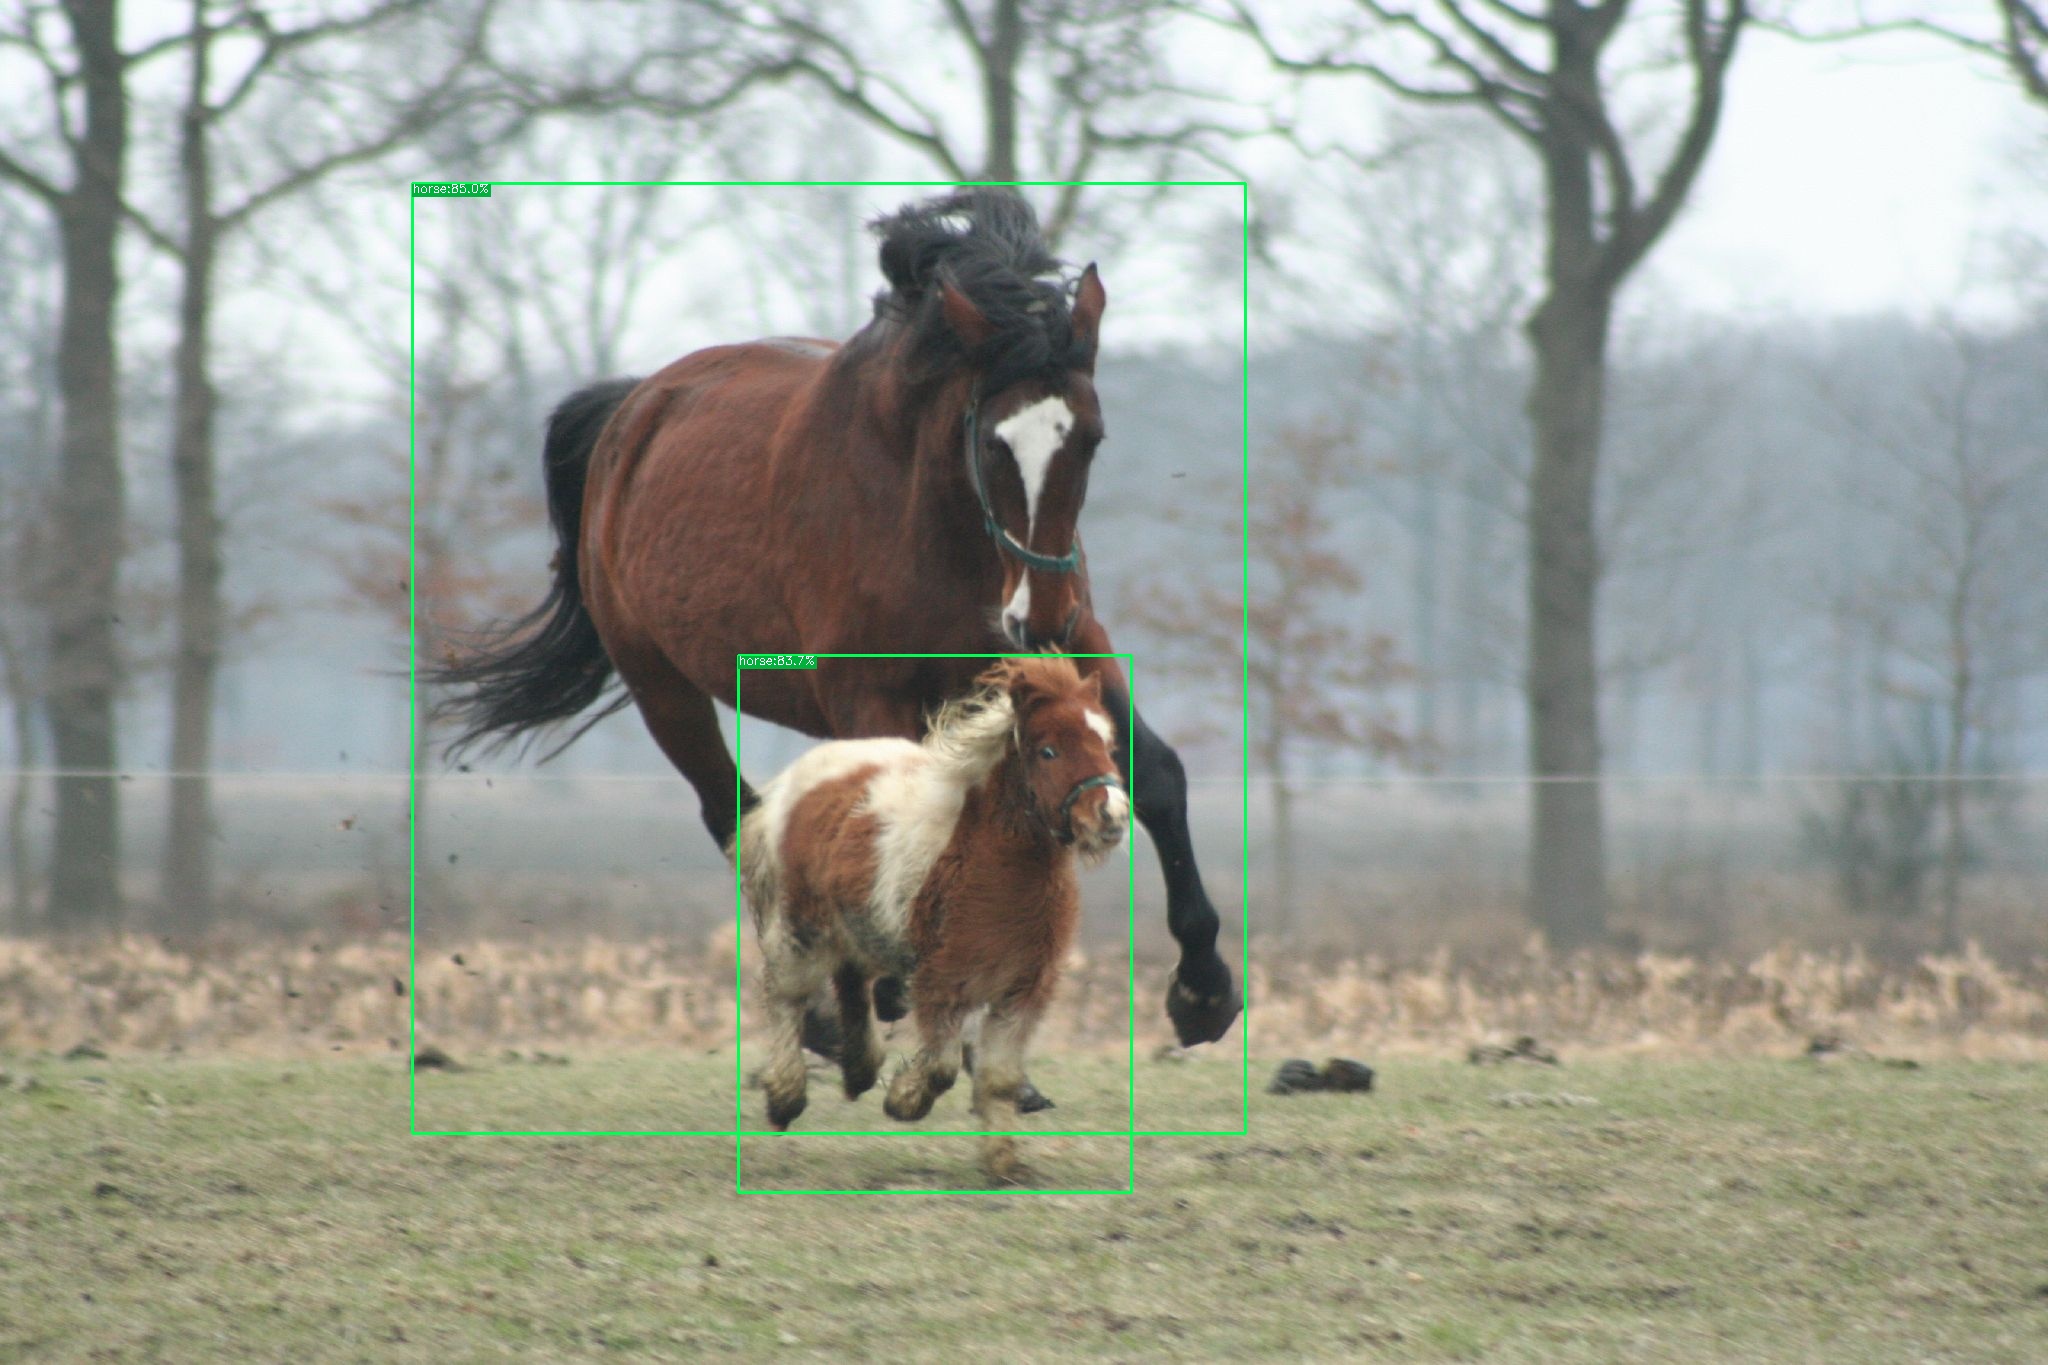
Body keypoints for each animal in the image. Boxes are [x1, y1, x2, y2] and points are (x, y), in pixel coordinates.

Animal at [430, 189, 1240, 1100]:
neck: (936, 521)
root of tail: (632, 414)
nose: (1039, 618)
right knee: (736, 818)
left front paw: (1204, 988)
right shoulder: (871, 693)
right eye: (993, 442)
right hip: (662, 688)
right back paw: (825, 1014)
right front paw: (900, 1003)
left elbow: (1157, 777)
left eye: (1091, 438)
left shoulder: (1072, 663)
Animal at [740, 655, 1127, 1183]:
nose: (1112, 816)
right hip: (800, 930)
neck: (988, 861)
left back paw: (859, 1069)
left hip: (857, 926)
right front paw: (904, 1100)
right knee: (786, 998)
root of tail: (801, 778)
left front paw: (1003, 1164)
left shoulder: (1023, 989)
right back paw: (785, 1098)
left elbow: (1000, 1078)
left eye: (1106, 745)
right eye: (1048, 751)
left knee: (849, 982)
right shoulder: (942, 982)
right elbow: (942, 1066)